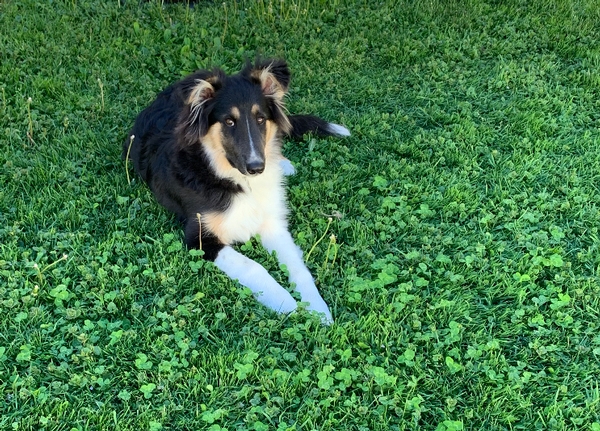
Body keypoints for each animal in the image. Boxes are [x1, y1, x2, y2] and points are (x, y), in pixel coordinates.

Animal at [124, 58, 350, 324]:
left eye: (261, 119)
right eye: (229, 122)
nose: (257, 168)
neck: (233, 179)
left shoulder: (272, 224)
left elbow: (299, 268)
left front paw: (317, 308)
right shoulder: (200, 238)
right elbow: (253, 266)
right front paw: (287, 303)